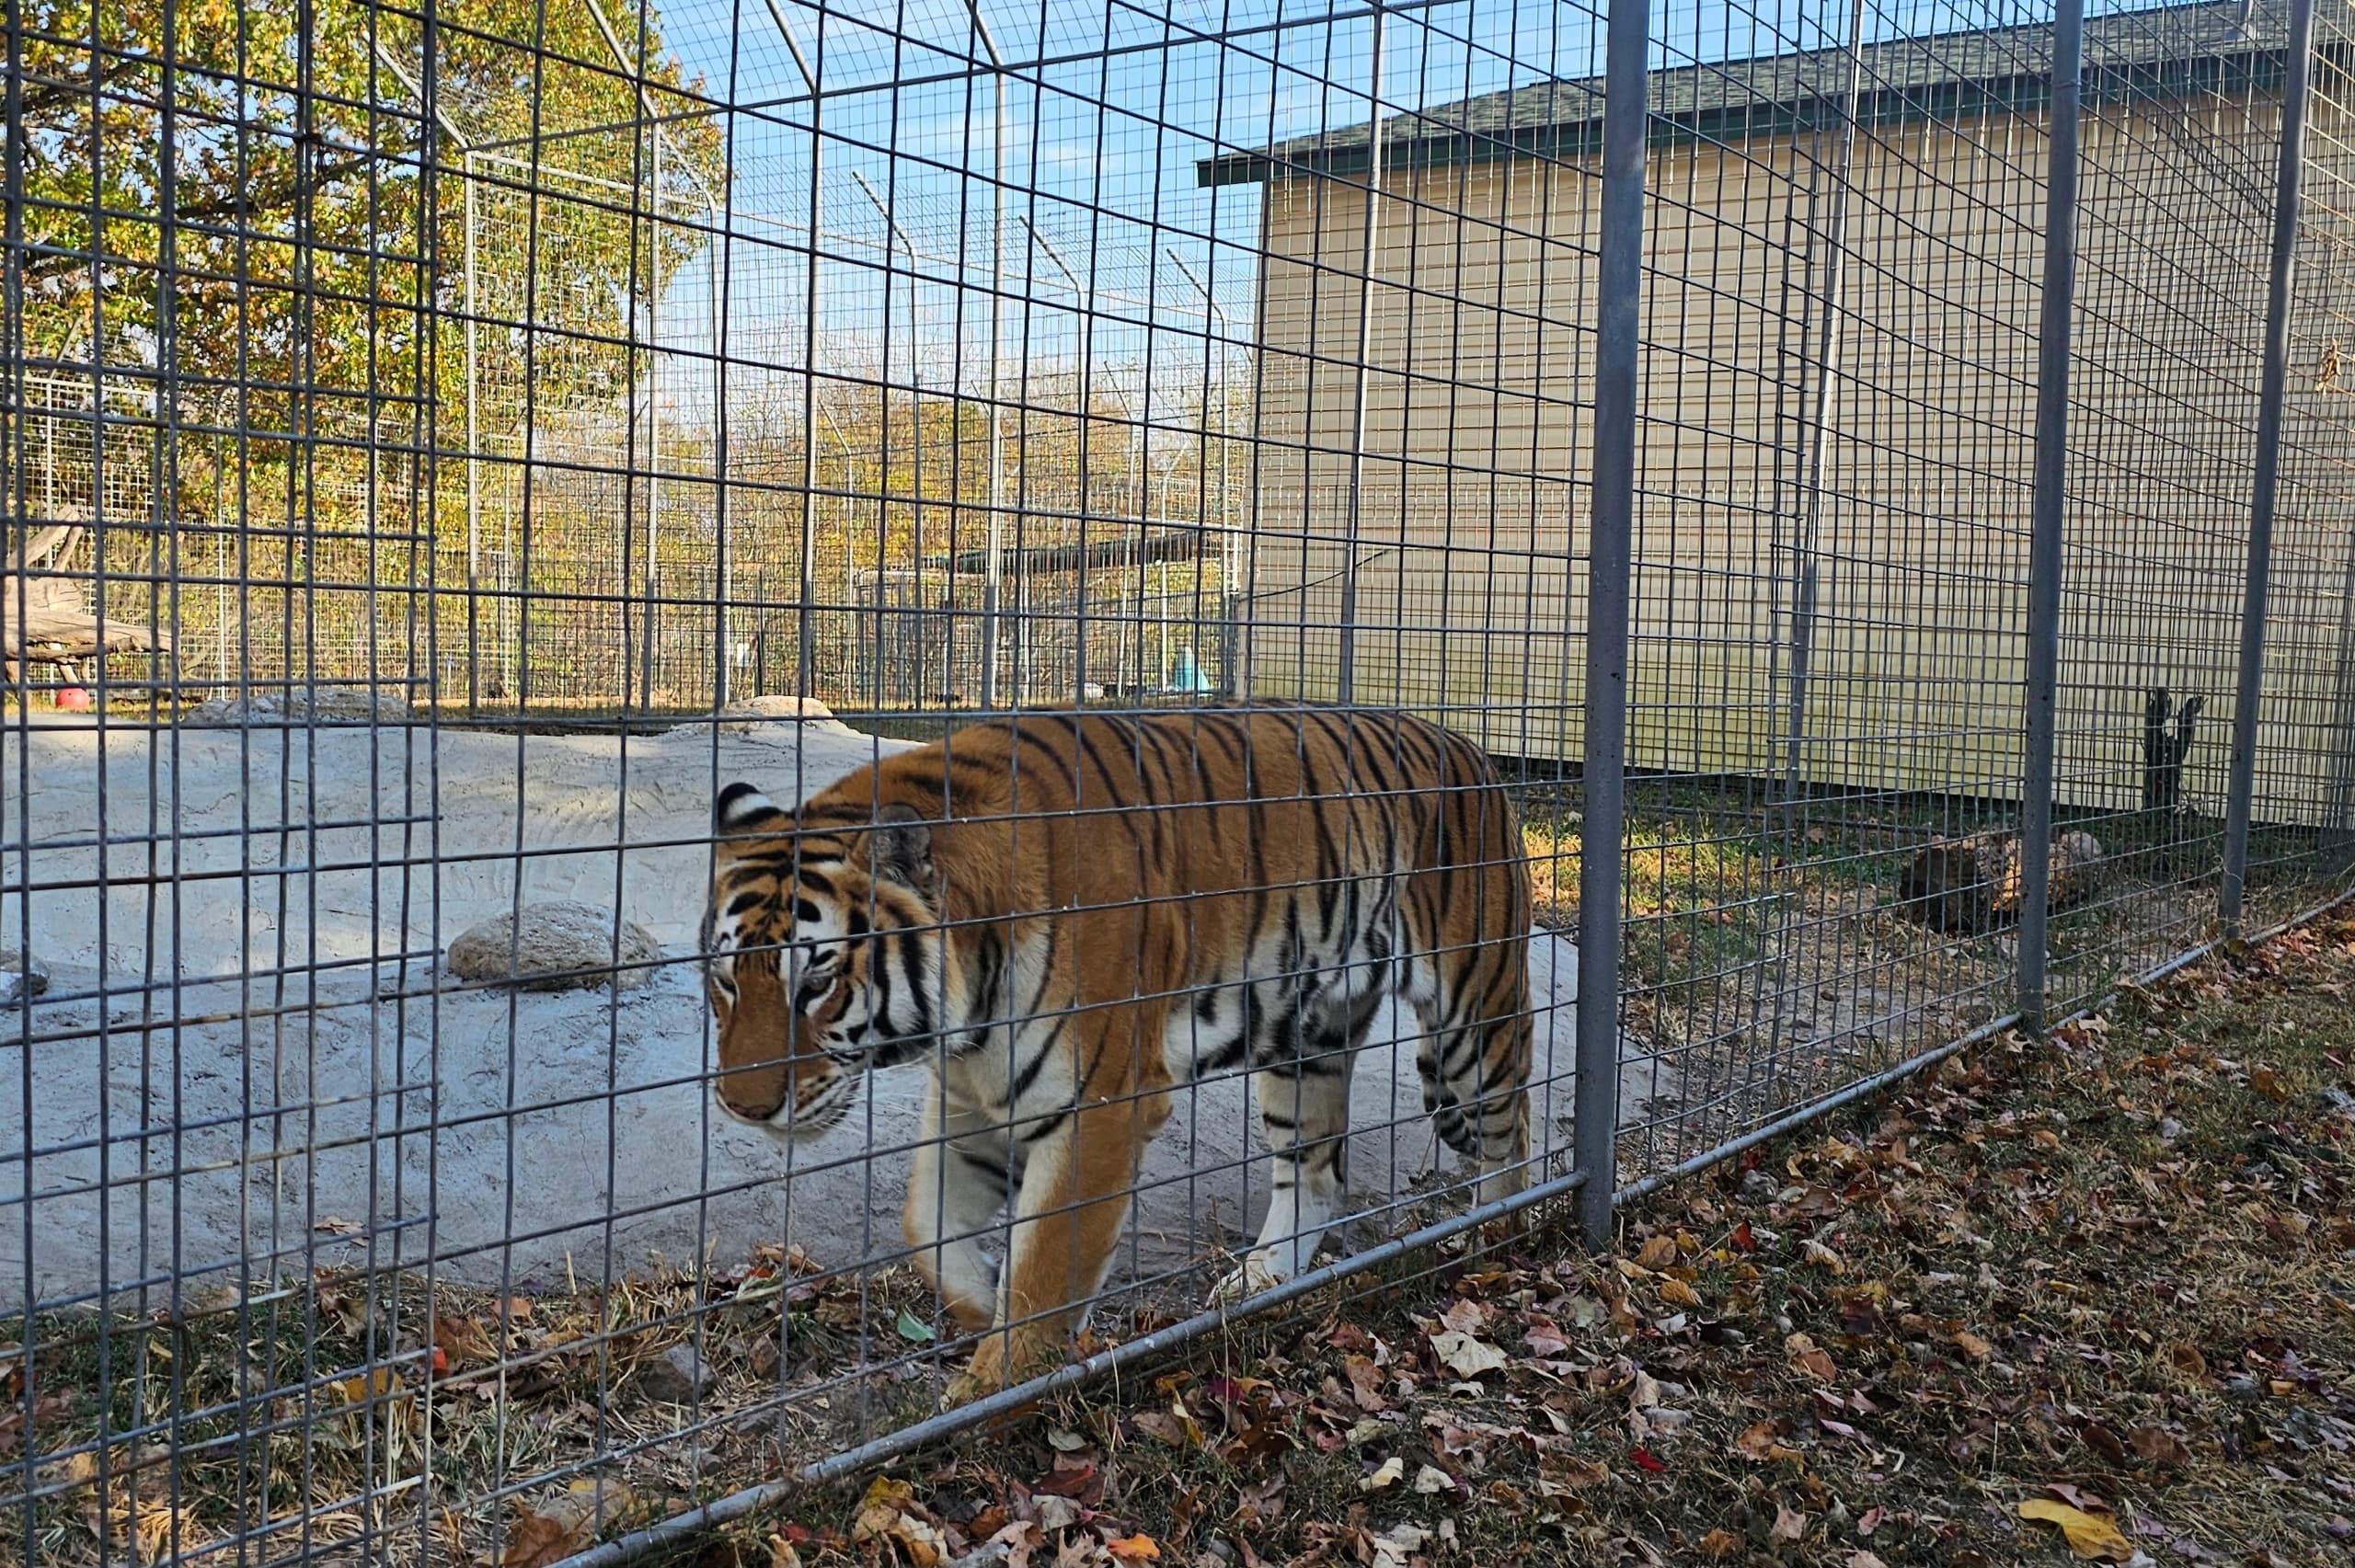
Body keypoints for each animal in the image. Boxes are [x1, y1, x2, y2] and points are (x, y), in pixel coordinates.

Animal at [700, 702, 1534, 1402]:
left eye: (817, 981)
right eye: (725, 979)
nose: (742, 1107)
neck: (964, 1006)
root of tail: (1470, 747)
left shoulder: (1097, 1103)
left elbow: (1046, 1271)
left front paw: (993, 1389)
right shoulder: (974, 1096)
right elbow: (927, 1226)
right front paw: (983, 1299)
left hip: (1473, 1010)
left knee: (1512, 1135)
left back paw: (1493, 1236)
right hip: (1309, 1041)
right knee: (1318, 1172)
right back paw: (1258, 1281)